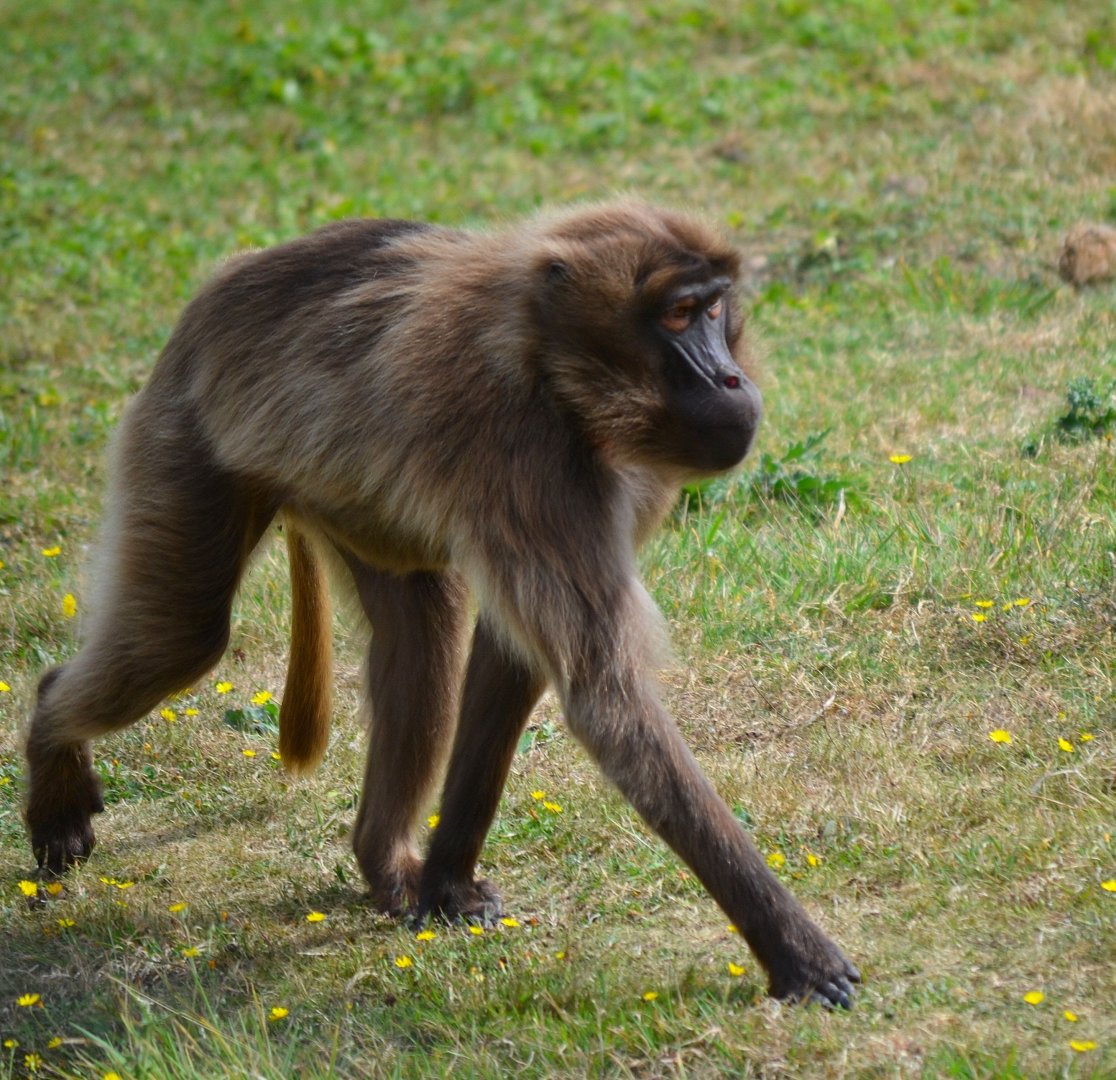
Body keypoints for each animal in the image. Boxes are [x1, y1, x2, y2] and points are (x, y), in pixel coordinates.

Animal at [24, 200, 860, 1008]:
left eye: (714, 307)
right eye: (679, 316)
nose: (731, 383)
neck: (546, 361)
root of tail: (210, 298)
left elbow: (512, 653)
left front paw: (447, 887)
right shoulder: (520, 453)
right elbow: (605, 695)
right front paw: (795, 951)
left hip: (355, 507)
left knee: (422, 643)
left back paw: (384, 865)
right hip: (187, 440)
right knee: (183, 636)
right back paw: (52, 750)